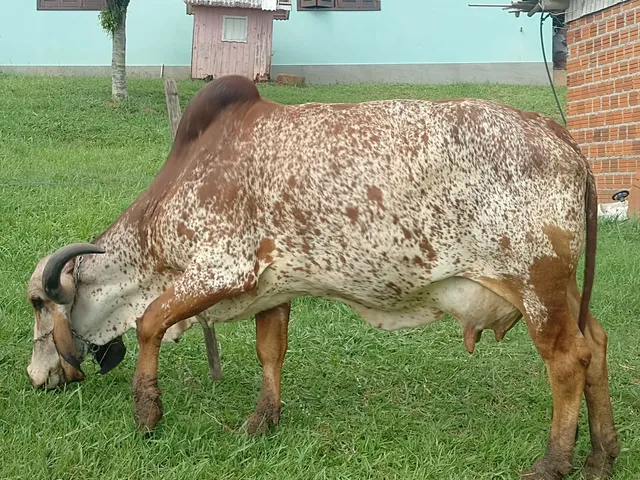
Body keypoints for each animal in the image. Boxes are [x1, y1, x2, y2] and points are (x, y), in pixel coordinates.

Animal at [25, 75, 619, 479]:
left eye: (36, 304)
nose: (35, 378)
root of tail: (560, 134)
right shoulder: (271, 289)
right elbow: (270, 352)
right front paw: (261, 421)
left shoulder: (220, 271)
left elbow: (150, 324)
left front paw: (147, 412)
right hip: (563, 289)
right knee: (596, 344)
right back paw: (601, 453)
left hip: (537, 286)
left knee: (568, 362)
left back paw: (554, 461)